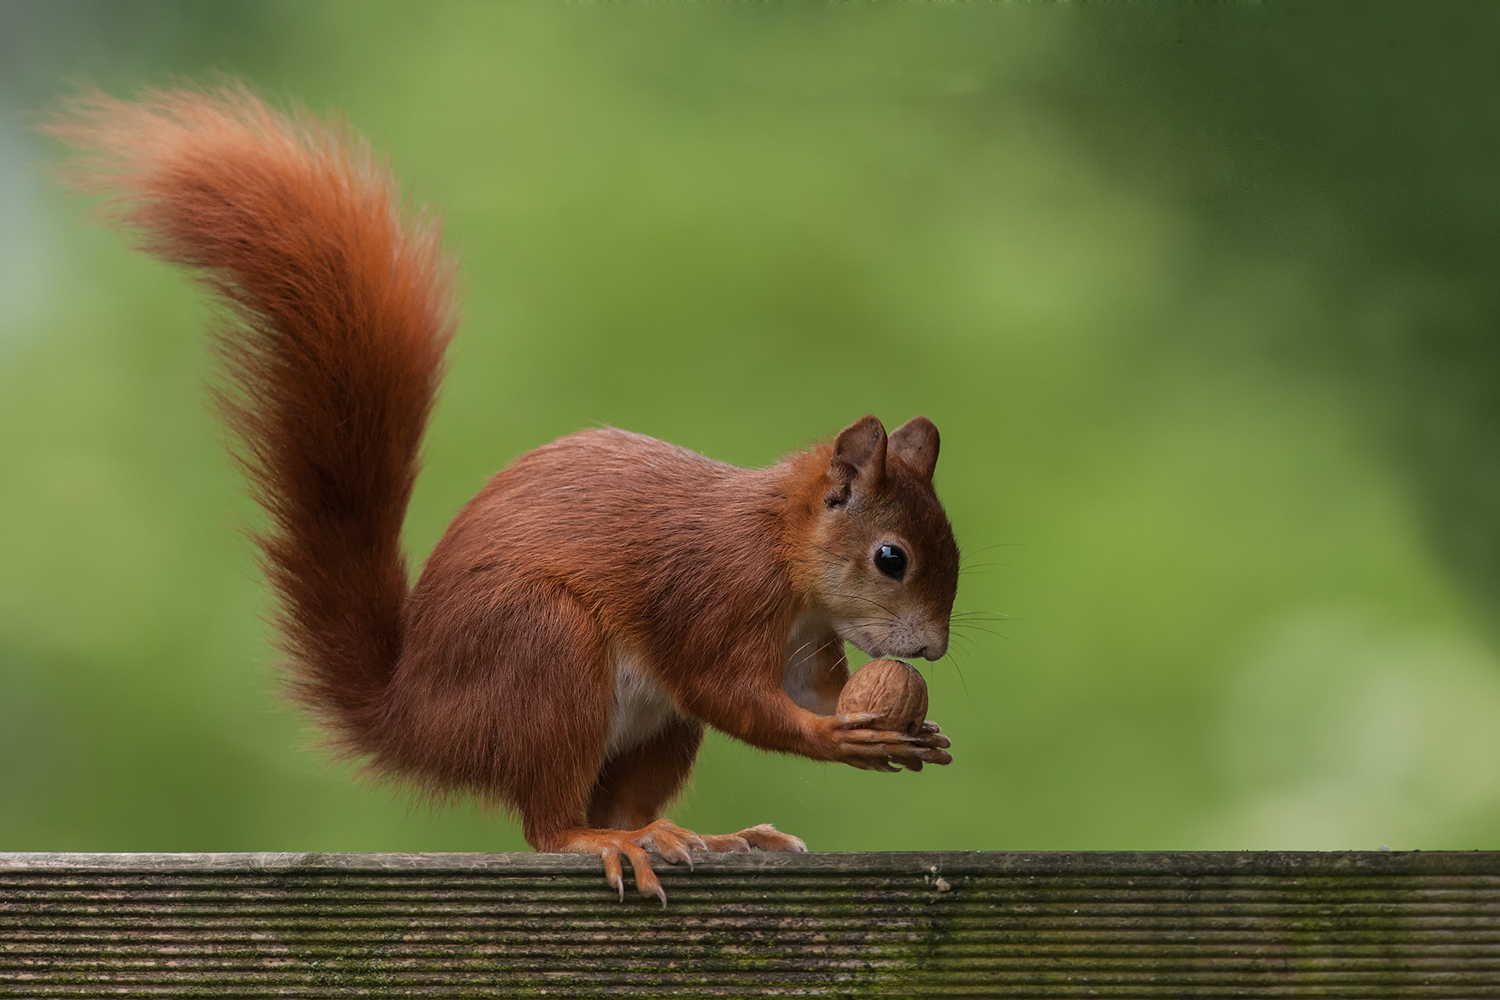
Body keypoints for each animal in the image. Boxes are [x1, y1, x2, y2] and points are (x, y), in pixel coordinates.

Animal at [52, 83, 960, 899]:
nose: (932, 652)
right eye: (891, 558)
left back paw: (687, 834)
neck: (782, 547)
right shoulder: (712, 596)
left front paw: (909, 729)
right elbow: (734, 695)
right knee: (547, 824)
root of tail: (418, 718)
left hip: (649, 726)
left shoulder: (804, 638)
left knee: (622, 799)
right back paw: (608, 842)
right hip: (545, 656)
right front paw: (838, 736)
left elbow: (810, 688)